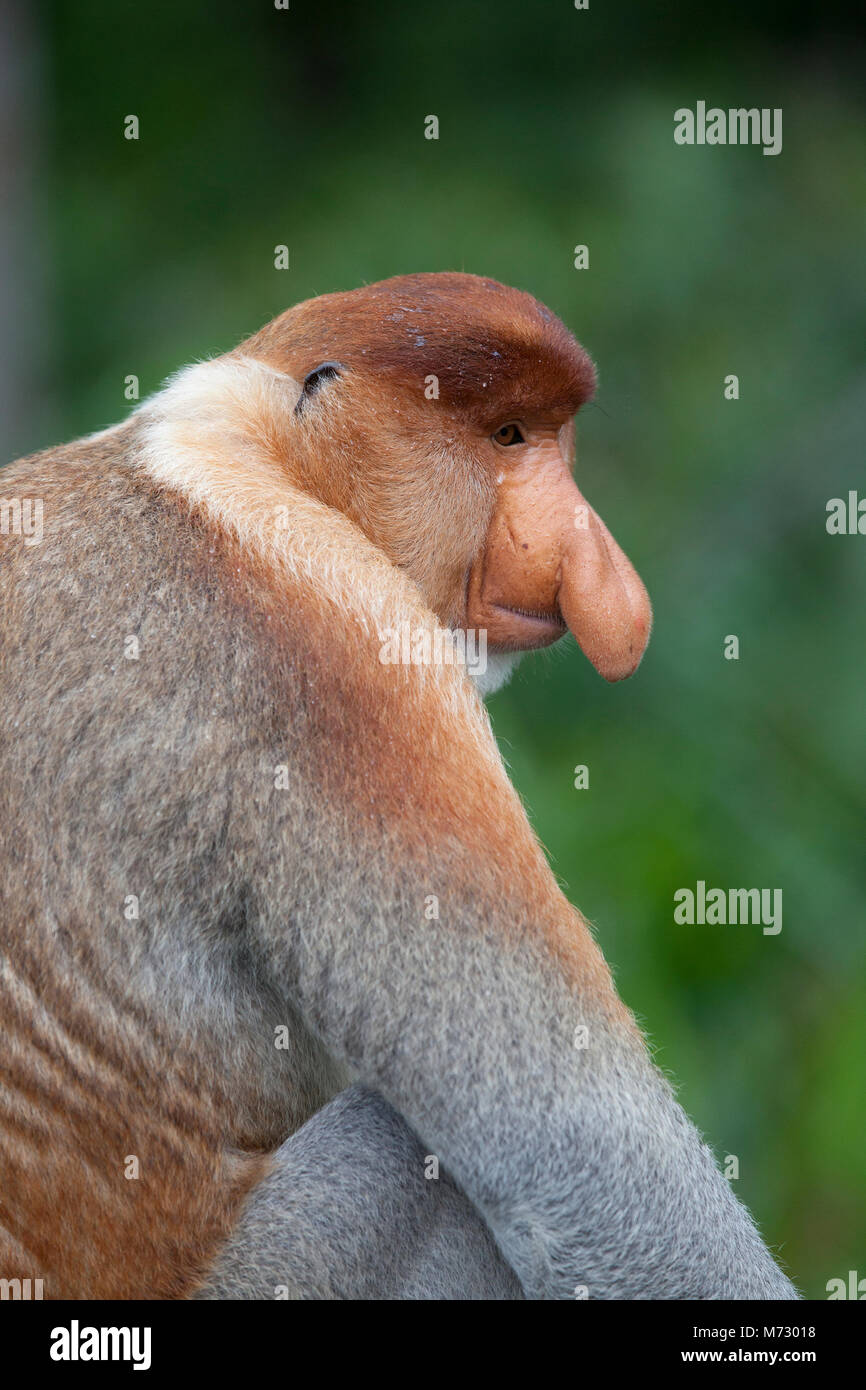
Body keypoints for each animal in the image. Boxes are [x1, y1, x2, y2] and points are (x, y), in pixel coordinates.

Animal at [0, 272, 797, 1299]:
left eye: (551, 436)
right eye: (509, 436)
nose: (601, 566)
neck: (254, 450)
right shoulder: (354, 647)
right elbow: (577, 1151)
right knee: (420, 1174)